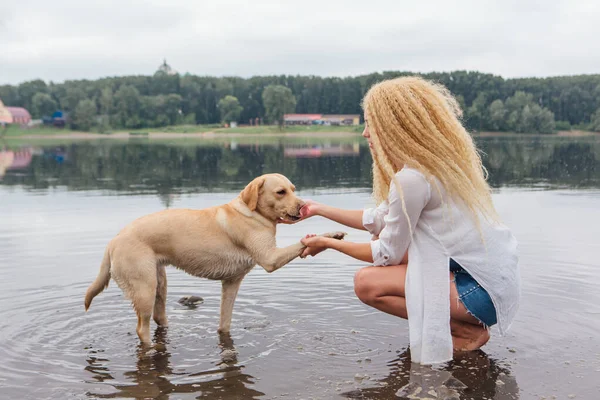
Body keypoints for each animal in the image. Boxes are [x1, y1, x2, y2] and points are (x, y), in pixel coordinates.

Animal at [85, 173, 346, 342]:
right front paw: (331, 234)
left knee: (160, 317)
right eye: (281, 192)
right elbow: (303, 242)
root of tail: (113, 241)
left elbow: (225, 322)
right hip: (144, 288)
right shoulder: (270, 258)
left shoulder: (231, 282)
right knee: (142, 328)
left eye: (293, 188)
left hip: (159, 283)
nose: (303, 207)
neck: (253, 213)